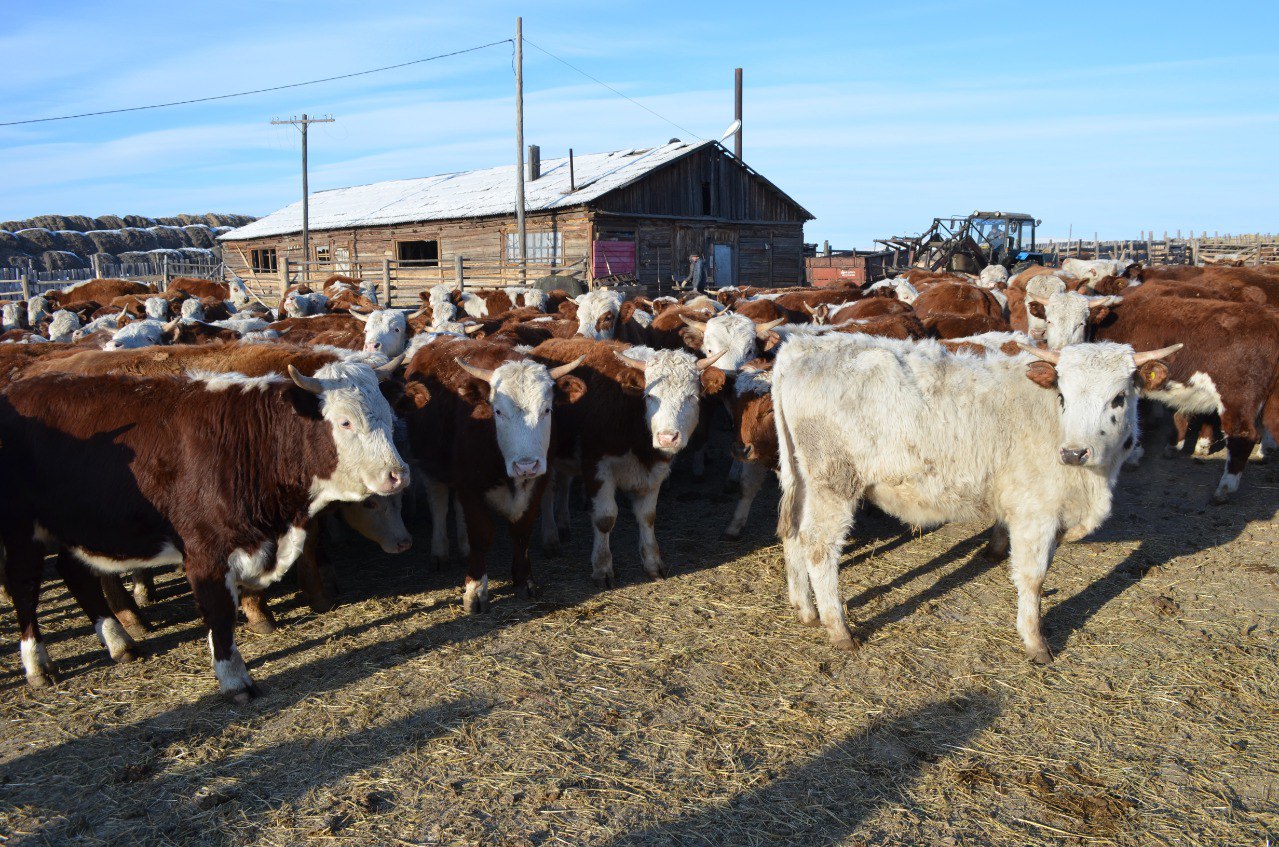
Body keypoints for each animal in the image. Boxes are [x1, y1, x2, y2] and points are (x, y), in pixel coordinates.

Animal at [0, 360, 406, 701]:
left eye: (389, 417)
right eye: (345, 422)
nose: (398, 474)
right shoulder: (205, 551)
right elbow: (219, 611)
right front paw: (233, 678)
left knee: (75, 574)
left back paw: (119, 642)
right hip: (21, 529)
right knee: (24, 587)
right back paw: (38, 664)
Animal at [399, 337, 585, 611]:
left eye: (547, 410)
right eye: (497, 411)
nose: (526, 465)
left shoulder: (537, 483)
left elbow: (522, 530)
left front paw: (523, 580)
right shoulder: (470, 486)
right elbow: (481, 533)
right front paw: (475, 589)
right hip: (430, 467)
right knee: (439, 504)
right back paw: (440, 552)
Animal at [529, 337, 726, 591]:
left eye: (692, 397)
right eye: (650, 396)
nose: (667, 437)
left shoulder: (655, 470)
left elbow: (647, 515)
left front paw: (653, 564)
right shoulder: (597, 467)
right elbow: (605, 518)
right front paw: (602, 568)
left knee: (563, 483)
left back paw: (563, 525)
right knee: (548, 492)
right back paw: (551, 537)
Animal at [767, 332, 1176, 665]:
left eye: (1119, 398)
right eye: (1063, 395)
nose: (1074, 453)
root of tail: (802, 346)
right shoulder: (1036, 512)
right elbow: (1033, 578)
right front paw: (1035, 641)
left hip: (800, 478)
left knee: (793, 536)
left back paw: (805, 609)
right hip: (833, 483)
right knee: (818, 547)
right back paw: (838, 629)